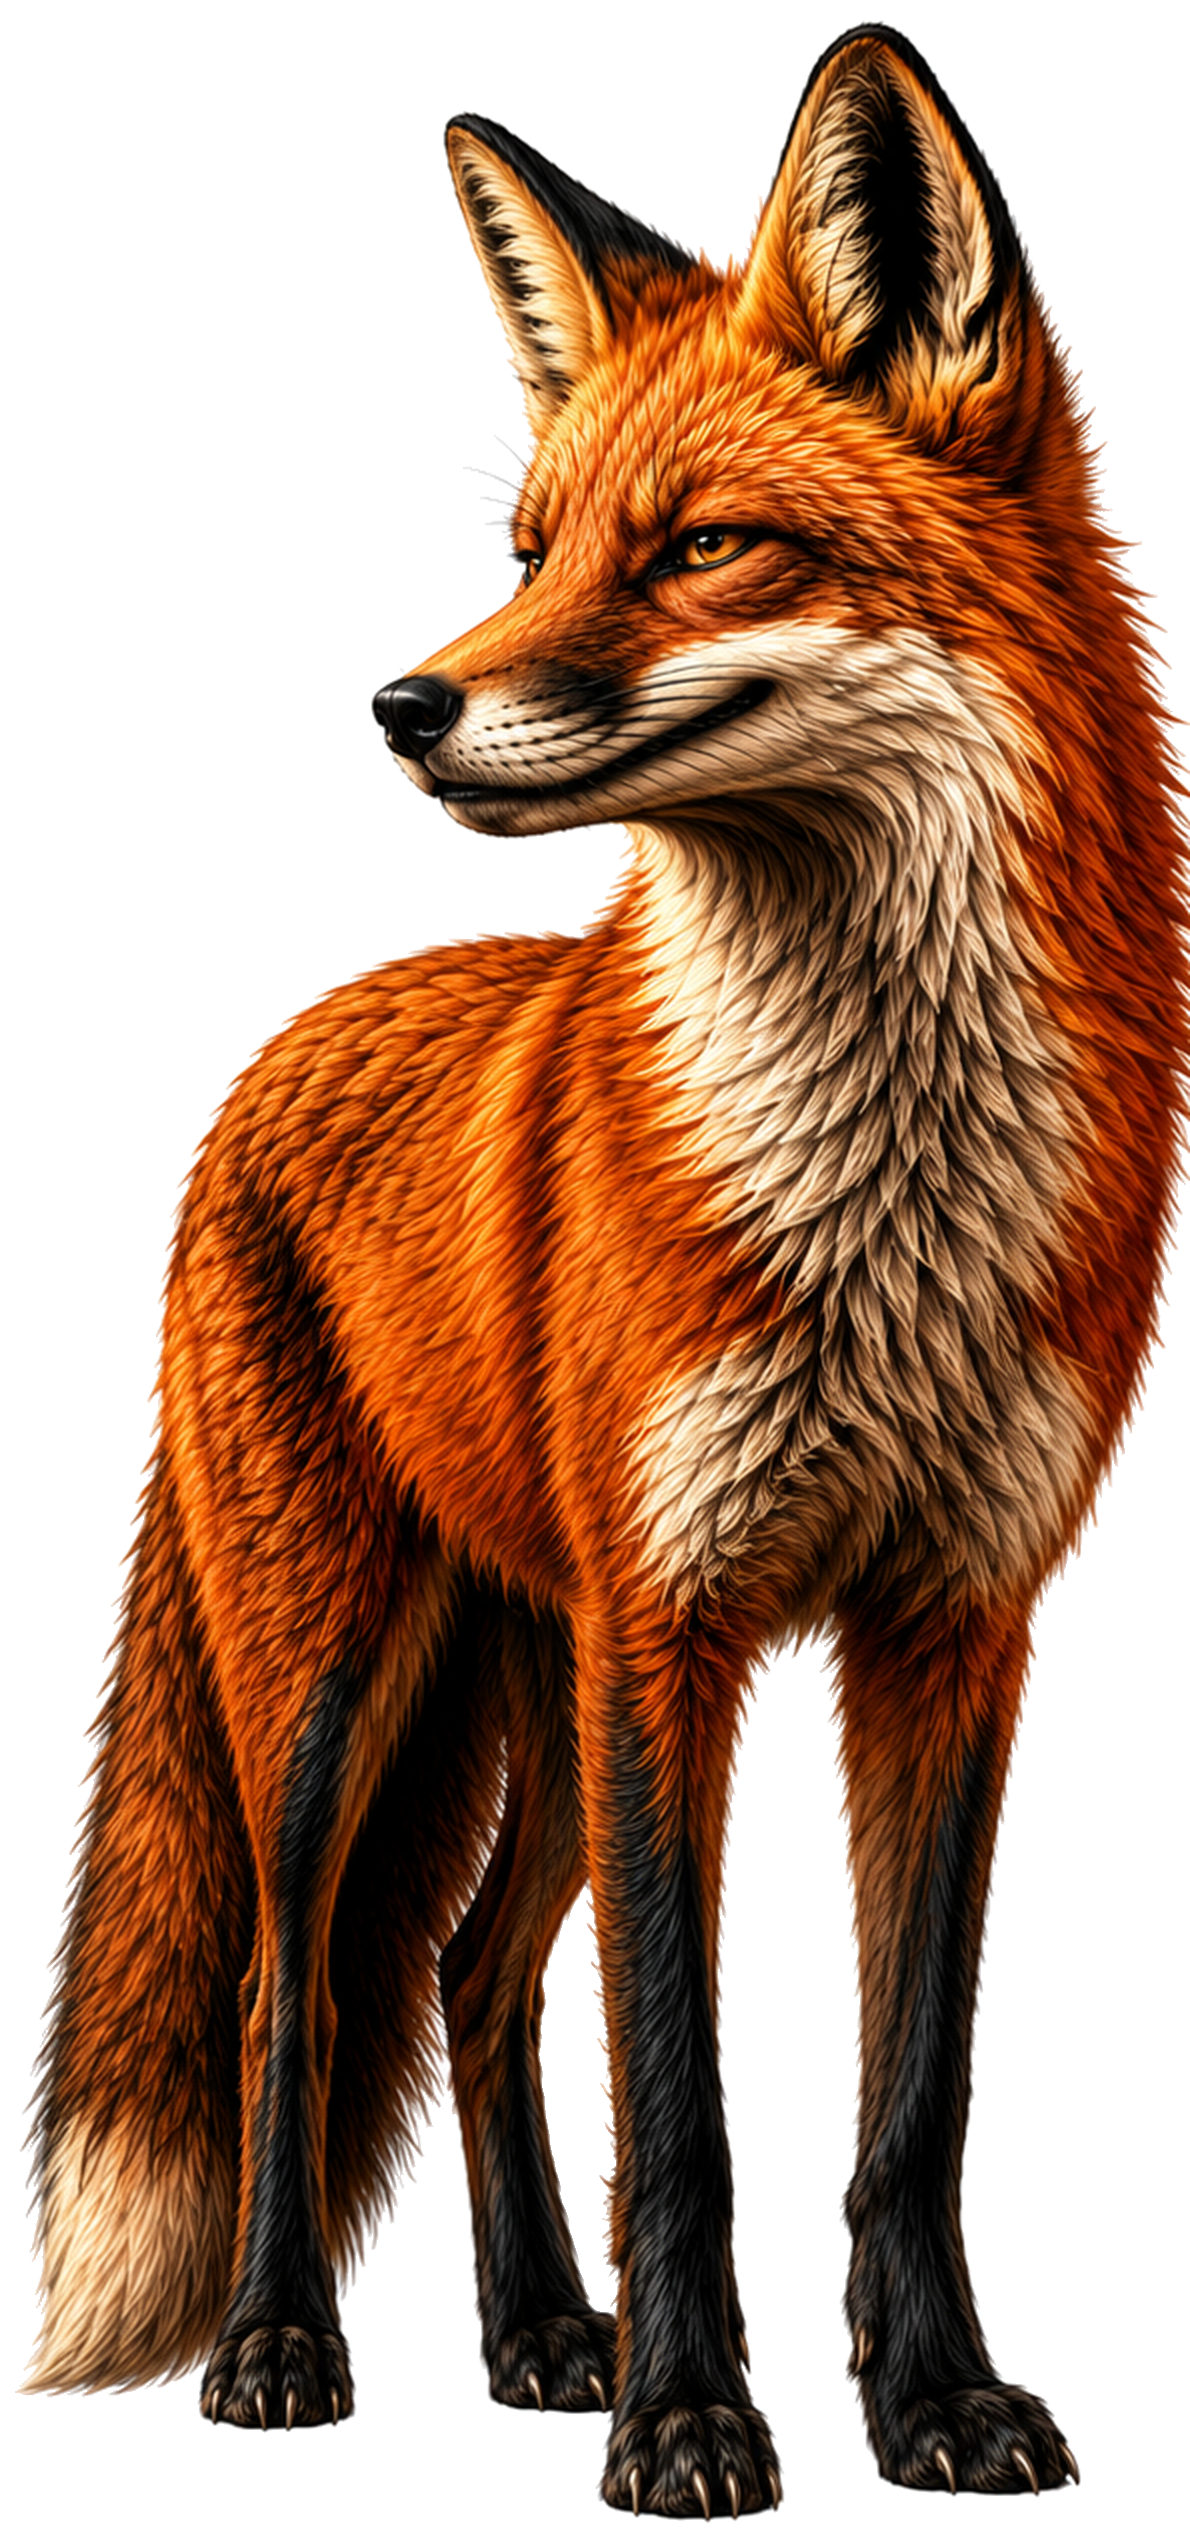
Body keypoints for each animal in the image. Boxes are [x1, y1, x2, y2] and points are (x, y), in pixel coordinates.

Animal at [15, 17, 1187, 2508]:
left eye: (705, 546)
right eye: (529, 547)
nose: (401, 701)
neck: (878, 1203)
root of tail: (290, 1037)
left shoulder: (952, 1622)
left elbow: (908, 2097)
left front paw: (930, 2401)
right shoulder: (681, 1618)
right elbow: (677, 2085)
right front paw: (692, 2423)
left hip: (527, 1669)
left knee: (468, 1976)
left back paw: (537, 2334)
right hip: (340, 1677)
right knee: (300, 1988)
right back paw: (286, 2351)